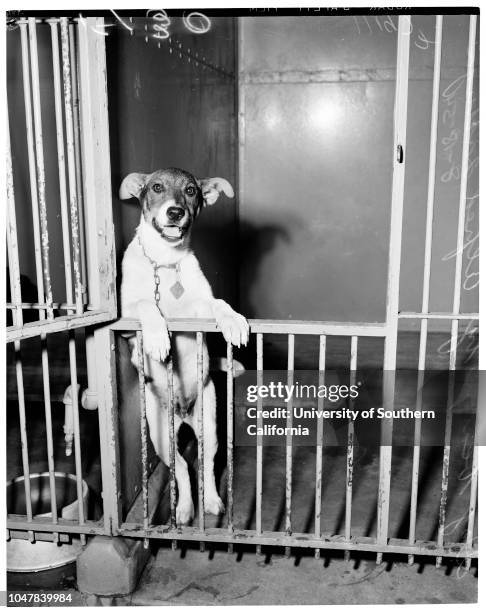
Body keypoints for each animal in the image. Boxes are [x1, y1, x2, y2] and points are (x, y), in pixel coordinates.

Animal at [119, 167, 249, 524]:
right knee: (180, 467)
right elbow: (145, 304)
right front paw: (157, 336)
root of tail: (183, 414)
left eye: (191, 191)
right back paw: (186, 507)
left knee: (204, 464)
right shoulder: (124, 323)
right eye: (156, 187)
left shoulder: (199, 314)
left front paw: (232, 320)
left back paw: (211, 501)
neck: (165, 261)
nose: (175, 212)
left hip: (211, 427)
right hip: (161, 436)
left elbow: (217, 303)